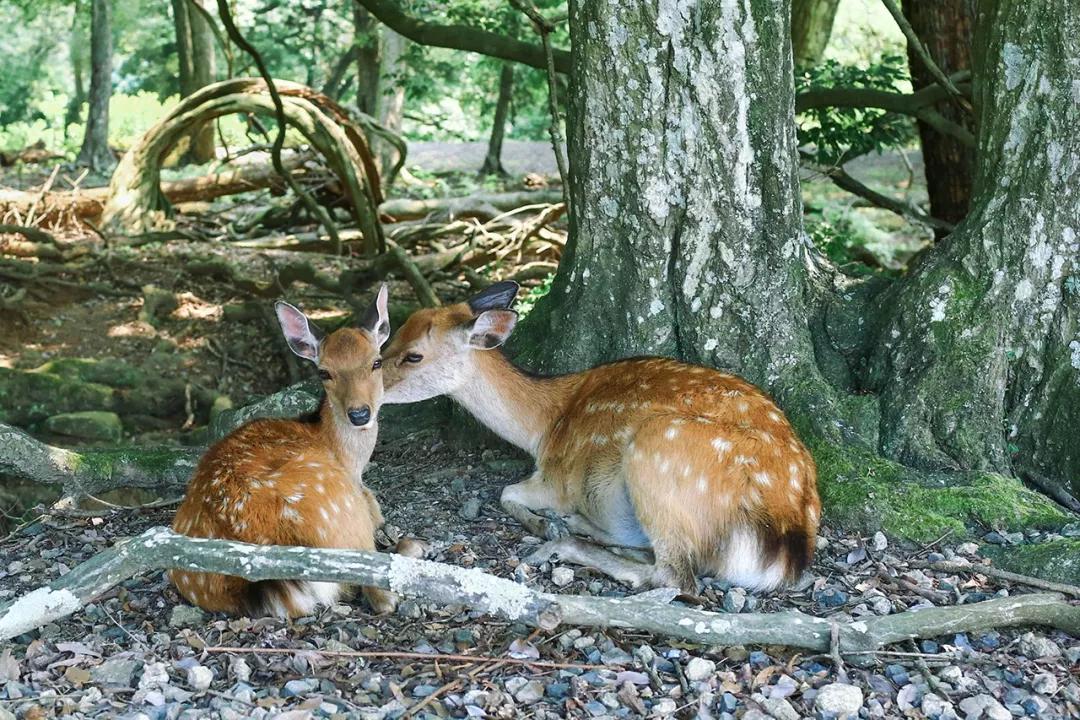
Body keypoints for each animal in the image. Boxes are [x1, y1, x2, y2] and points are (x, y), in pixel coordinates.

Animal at [380, 282, 816, 595]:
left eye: (414, 355)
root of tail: (787, 535)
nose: (367, 386)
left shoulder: (554, 479)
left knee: (675, 576)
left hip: (659, 450)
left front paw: (543, 526)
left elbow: (505, 492)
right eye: (391, 336)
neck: (543, 426)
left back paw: (561, 544)